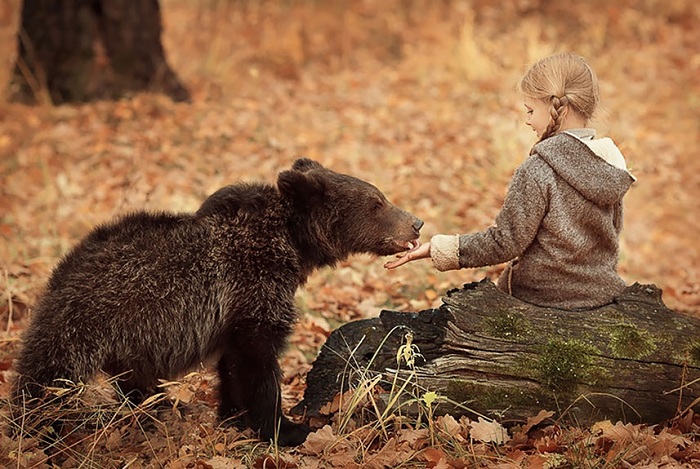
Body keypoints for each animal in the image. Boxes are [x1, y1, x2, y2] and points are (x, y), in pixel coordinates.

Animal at [13, 158, 424, 446]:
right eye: (377, 202)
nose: (416, 222)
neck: (292, 245)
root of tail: (61, 269)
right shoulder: (252, 288)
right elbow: (258, 363)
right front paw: (284, 427)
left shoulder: (233, 312)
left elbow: (231, 364)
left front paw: (232, 416)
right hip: (87, 320)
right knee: (45, 379)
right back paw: (35, 430)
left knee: (133, 380)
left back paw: (160, 409)